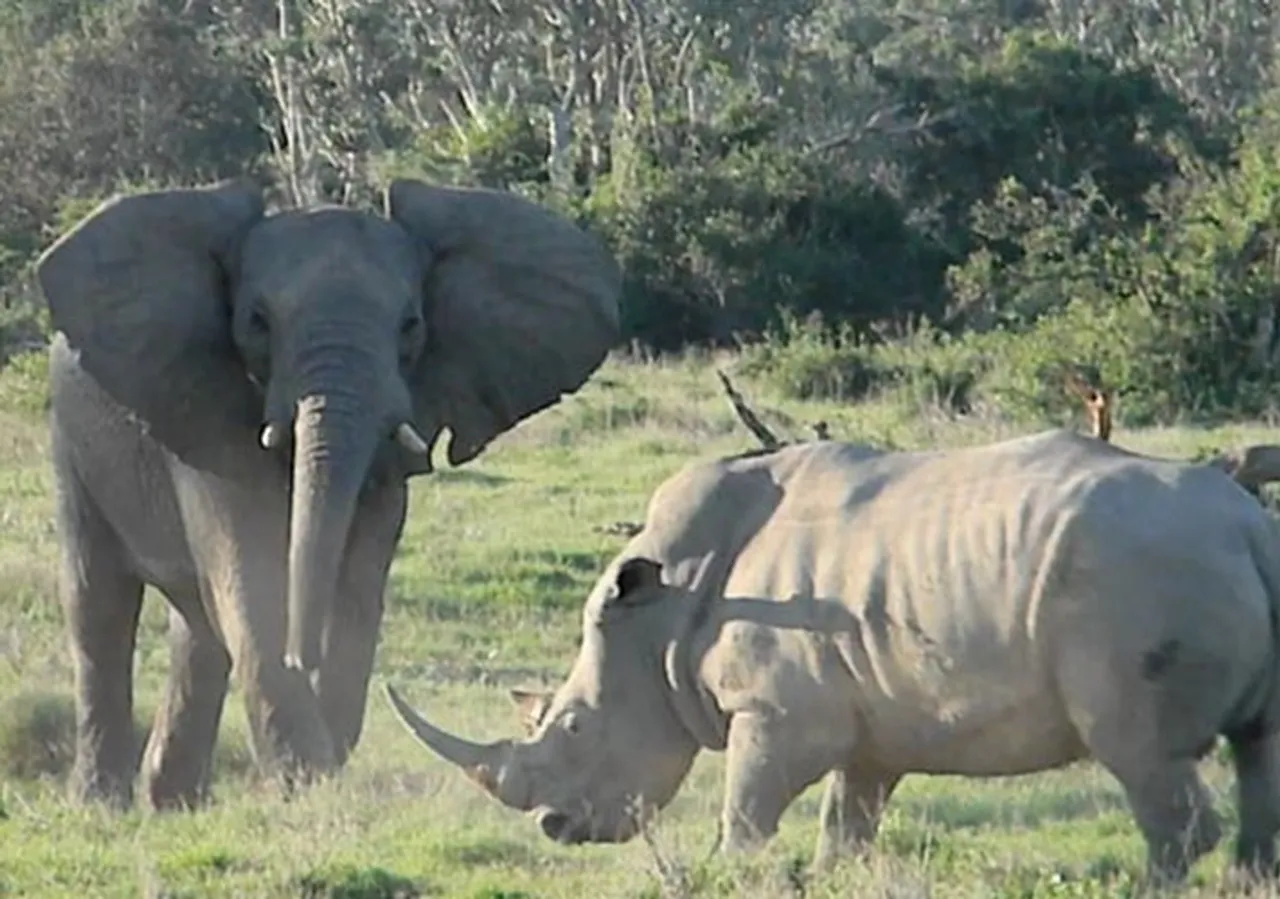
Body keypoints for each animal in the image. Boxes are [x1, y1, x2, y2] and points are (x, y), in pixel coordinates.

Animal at [32, 179, 622, 814]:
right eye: (257, 321)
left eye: (411, 324)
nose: (303, 655)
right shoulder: (207, 411)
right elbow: (251, 582)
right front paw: (306, 783)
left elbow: (357, 582)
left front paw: (320, 768)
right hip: (70, 440)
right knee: (98, 604)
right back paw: (101, 804)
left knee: (198, 628)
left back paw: (173, 802)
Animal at [389, 430, 1280, 886]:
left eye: (574, 727)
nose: (554, 827)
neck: (662, 611)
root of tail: (1245, 524)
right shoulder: (872, 716)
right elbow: (848, 816)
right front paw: (830, 876)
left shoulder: (774, 709)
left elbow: (748, 806)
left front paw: (728, 872)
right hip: (1197, 566)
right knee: (1257, 746)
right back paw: (1249, 877)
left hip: (1139, 582)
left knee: (1138, 751)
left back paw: (1159, 880)